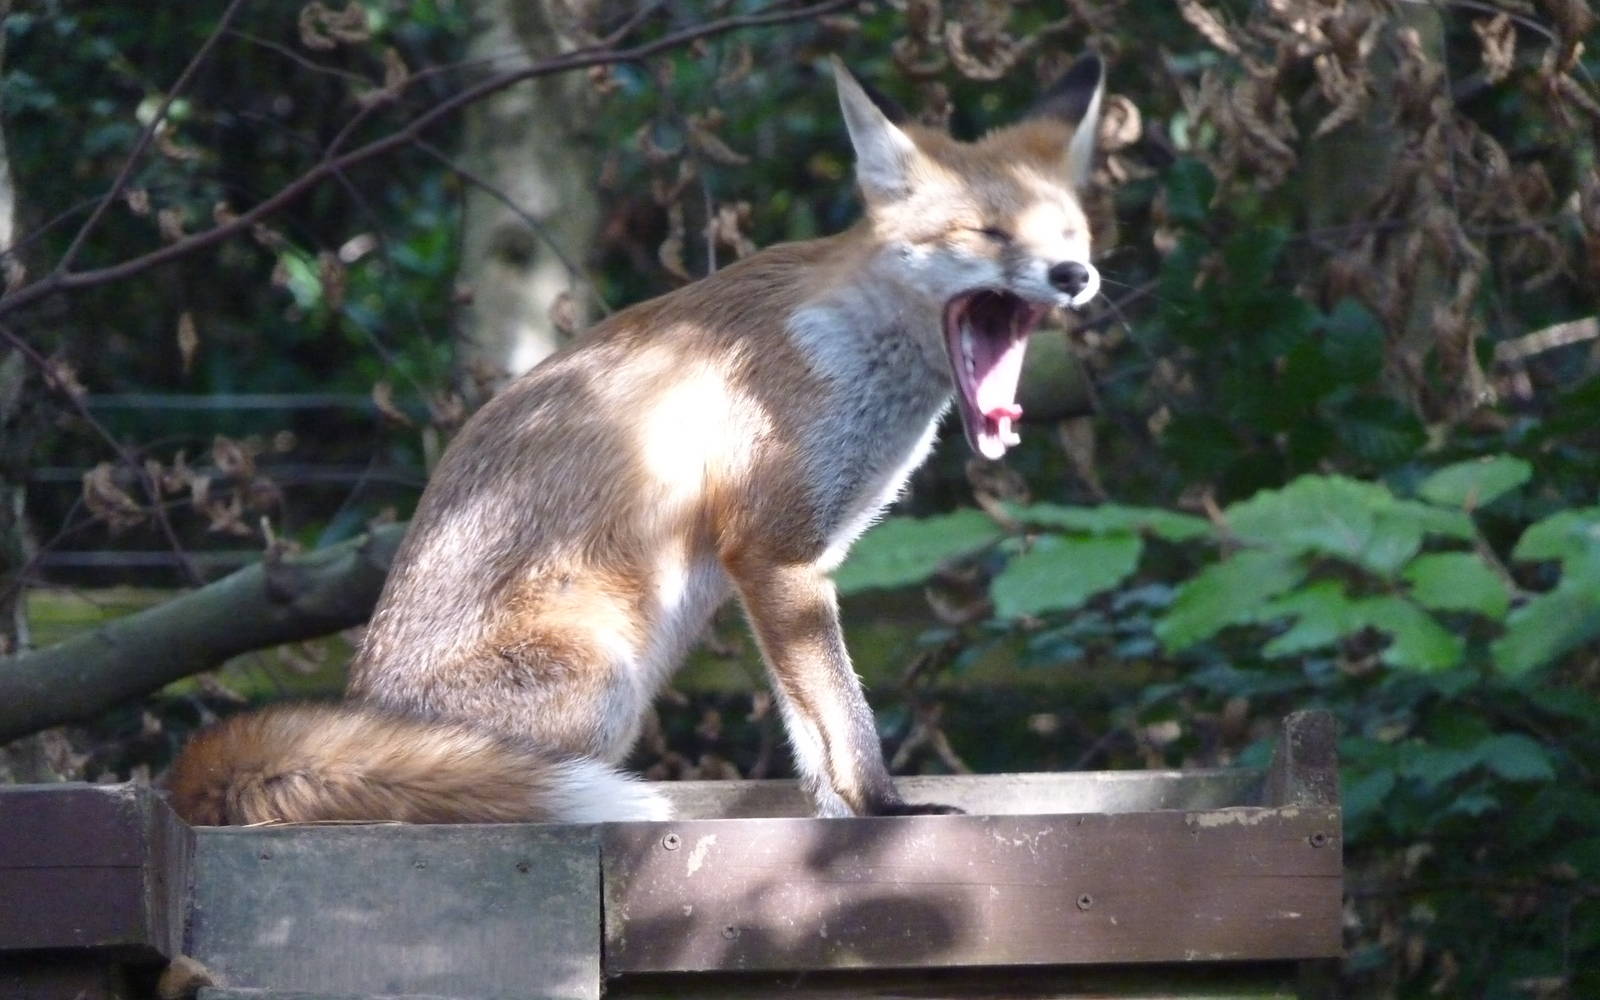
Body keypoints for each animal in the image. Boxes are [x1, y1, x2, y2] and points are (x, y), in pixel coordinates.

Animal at [167, 53, 1108, 826]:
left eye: (1072, 237)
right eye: (986, 233)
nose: (1075, 276)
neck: (845, 341)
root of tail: (363, 707)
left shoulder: (787, 566)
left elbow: (811, 734)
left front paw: (837, 821)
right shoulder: (773, 548)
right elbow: (847, 718)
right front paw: (884, 811)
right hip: (604, 674)